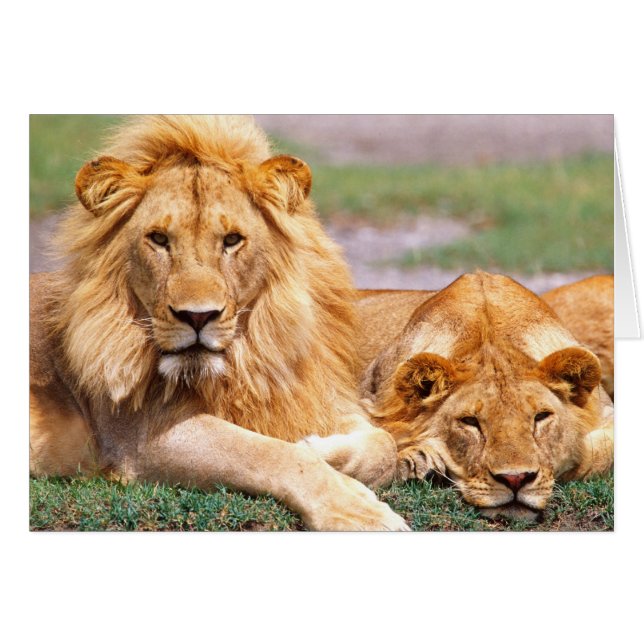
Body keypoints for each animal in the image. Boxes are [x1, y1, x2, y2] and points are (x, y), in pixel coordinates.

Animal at [29, 115, 407, 531]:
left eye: (231, 240)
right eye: (158, 239)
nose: (197, 316)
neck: (244, 362)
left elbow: (384, 444)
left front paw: (322, 449)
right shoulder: (139, 437)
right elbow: (272, 454)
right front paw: (355, 509)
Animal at [358, 272, 614, 520]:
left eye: (541, 417)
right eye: (470, 421)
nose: (516, 479)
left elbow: (600, 453)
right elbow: (382, 443)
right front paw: (418, 460)